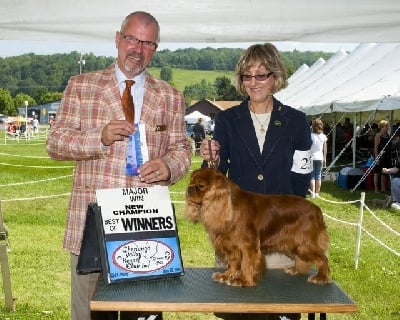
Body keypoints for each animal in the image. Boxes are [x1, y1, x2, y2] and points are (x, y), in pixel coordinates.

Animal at [186, 168, 330, 288]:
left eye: (200, 186)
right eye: (190, 182)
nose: (189, 189)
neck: (230, 206)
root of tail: (317, 209)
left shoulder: (248, 246)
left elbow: (246, 264)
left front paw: (242, 280)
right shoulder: (232, 246)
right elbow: (233, 263)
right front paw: (226, 275)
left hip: (304, 245)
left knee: (323, 258)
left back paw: (321, 277)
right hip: (293, 245)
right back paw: (296, 270)